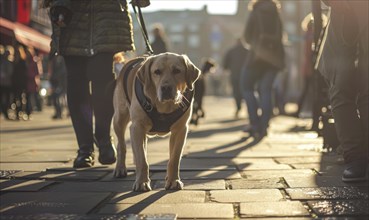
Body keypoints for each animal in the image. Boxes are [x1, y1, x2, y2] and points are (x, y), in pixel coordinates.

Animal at [113, 52, 200, 191]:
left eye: (177, 71)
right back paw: (120, 168)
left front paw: (173, 180)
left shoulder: (180, 130)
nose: (166, 88)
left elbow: (174, 159)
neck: (164, 107)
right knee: (121, 145)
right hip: (119, 118)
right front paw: (142, 182)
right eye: (157, 72)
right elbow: (142, 160)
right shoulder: (137, 127)